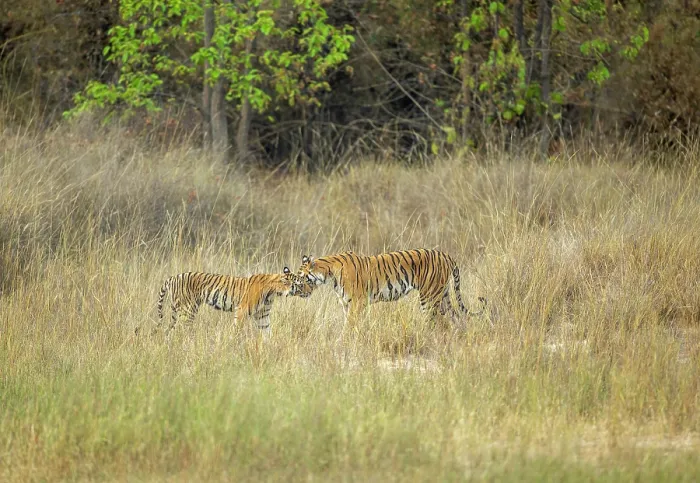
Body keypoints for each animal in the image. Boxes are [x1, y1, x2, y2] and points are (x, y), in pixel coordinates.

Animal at [152, 267, 311, 334]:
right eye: (301, 284)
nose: (311, 291)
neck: (274, 291)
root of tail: (173, 277)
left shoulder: (262, 315)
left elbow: (266, 331)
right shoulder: (242, 309)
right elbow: (237, 328)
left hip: (177, 312)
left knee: (168, 330)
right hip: (187, 310)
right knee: (178, 331)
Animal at [293, 249, 487, 325]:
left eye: (301, 278)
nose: (300, 292)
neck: (329, 274)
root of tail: (446, 255)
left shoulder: (357, 303)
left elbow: (350, 325)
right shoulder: (346, 304)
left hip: (429, 297)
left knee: (435, 321)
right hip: (443, 295)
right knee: (455, 318)